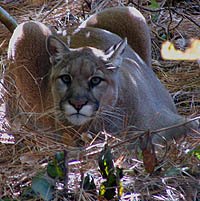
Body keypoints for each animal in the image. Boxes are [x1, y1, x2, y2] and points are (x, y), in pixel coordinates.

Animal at [5, 6, 197, 144]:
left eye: (95, 80)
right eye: (66, 78)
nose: (77, 104)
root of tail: (69, 29)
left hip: (130, 13)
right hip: (28, 28)